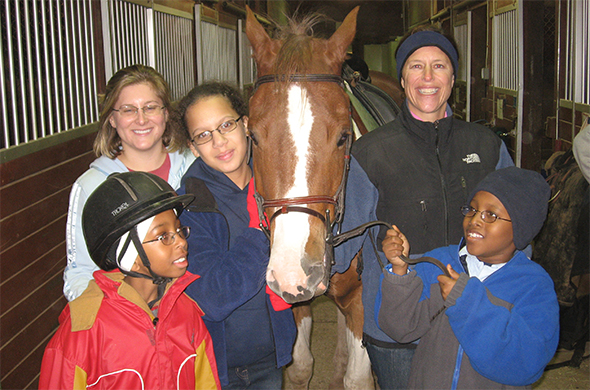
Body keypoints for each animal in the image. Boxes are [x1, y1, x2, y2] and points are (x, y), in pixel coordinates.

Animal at [247, 6, 376, 390]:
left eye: (343, 136)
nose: (296, 270)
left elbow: (357, 378)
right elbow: (301, 365)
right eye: (253, 136)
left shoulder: (364, 301)